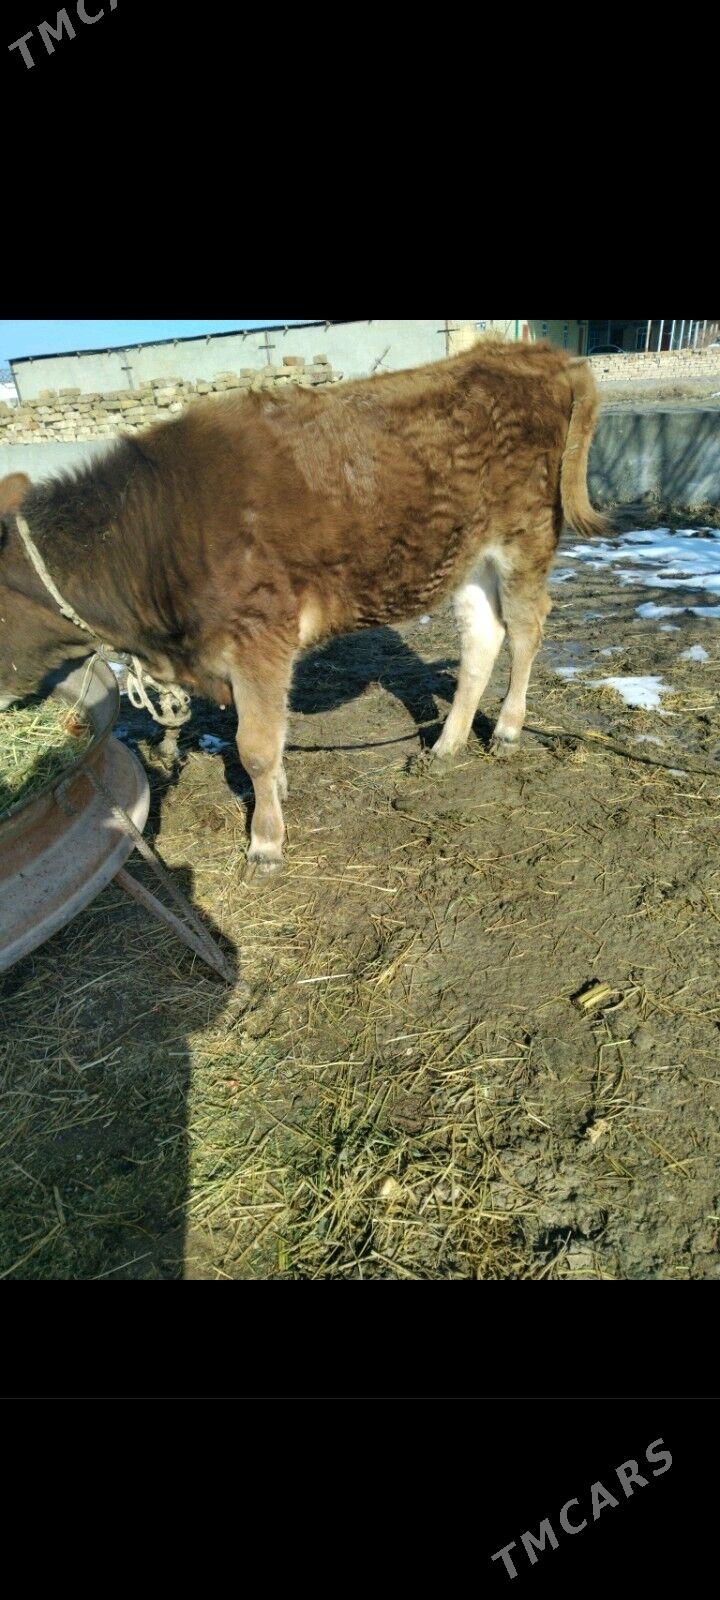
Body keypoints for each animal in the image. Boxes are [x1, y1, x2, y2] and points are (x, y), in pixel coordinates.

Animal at [0, 341, 606, 880]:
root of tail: (539, 354)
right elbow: (270, 734)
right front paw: (279, 794)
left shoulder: (258, 636)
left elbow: (255, 746)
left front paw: (266, 842)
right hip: (469, 556)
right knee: (482, 636)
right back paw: (447, 744)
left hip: (526, 535)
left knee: (527, 628)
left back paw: (506, 730)